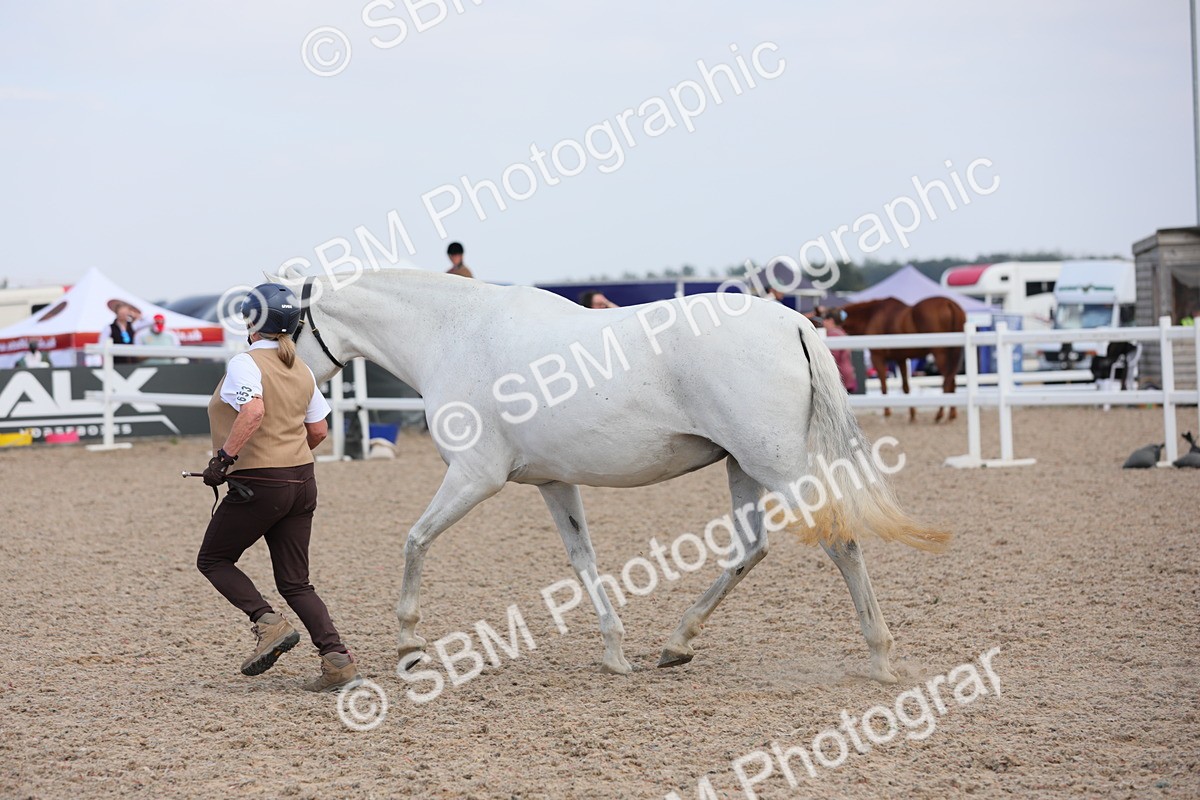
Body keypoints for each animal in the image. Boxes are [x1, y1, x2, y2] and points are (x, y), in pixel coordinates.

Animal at [281, 269, 950, 683]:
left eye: (281, 328)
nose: (305, 414)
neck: (456, 335)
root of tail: (793, 323)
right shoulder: (554, 483)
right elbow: (584, 562)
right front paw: (614, 651)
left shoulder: (475, 478)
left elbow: (415, 541)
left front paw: (410, 646)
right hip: (743, 465)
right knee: (750, 548)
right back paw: (677, 641)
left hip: (776, 465)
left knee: (840, 542)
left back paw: (880, 658)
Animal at [837, 297, 966, 423]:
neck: (873, 314)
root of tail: (949, 303)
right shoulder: (901, 359)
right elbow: (905, 387)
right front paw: (912, 414)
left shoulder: (877, 357)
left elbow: (883, 385)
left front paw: (887, 413)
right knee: (952, 381)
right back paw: (951, 414)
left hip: (940, 353)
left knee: (947, 381)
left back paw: (939, 414)